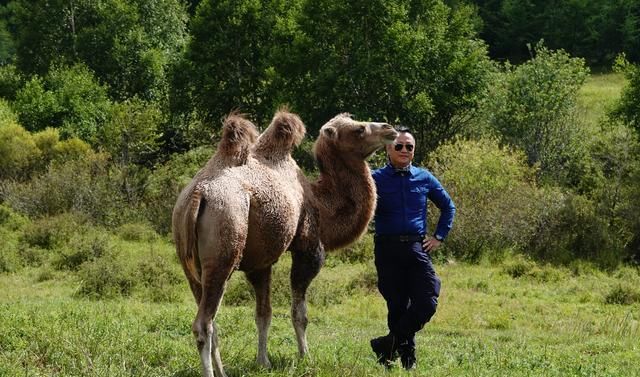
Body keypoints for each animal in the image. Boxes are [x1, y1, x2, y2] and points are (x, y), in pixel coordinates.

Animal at [172, 110, 398, 376]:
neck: (321, 204)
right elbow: (300, 313)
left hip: (189, 264)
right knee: (203, 323)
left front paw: (263, 362)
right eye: (359, 129)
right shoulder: (307, 247)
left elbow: (263, 313)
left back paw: (223, 371)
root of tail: (197, 194)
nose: (390, 129)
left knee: (210, 319)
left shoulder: (260, 263)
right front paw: (305, 357)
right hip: (224, 243)